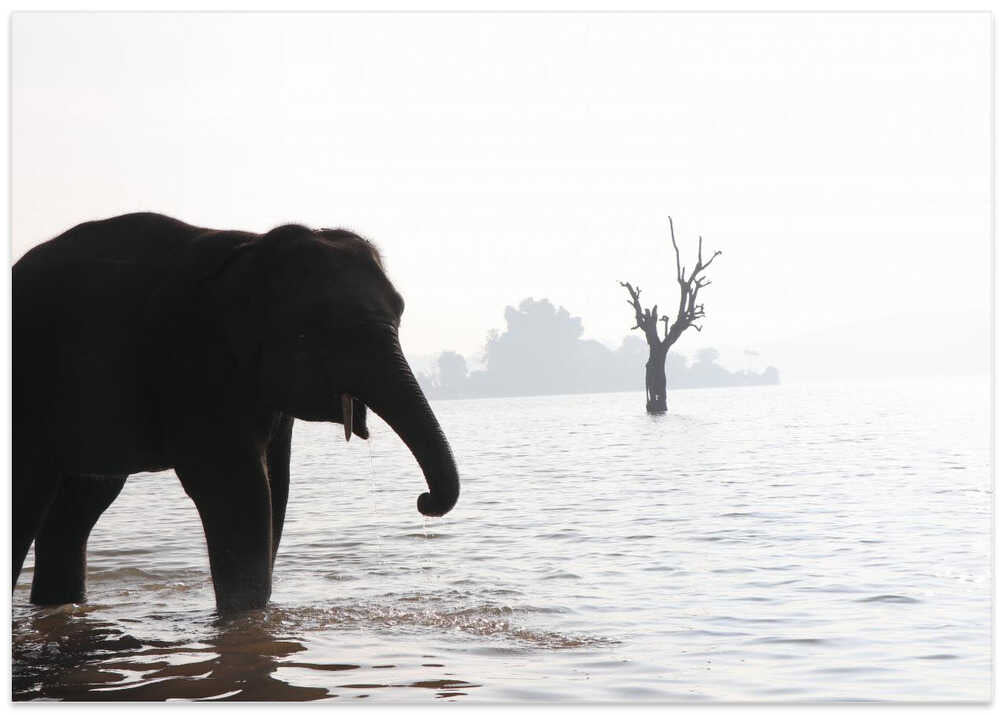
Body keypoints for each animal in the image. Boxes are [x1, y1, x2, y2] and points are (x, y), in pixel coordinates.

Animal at [13, 212, 460, 612]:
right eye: (320, 325)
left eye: (400, 311)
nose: (424, 501)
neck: (253, 249)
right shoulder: (195, 360)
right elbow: (237, 489)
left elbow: (276, 488)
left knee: (83, 503)